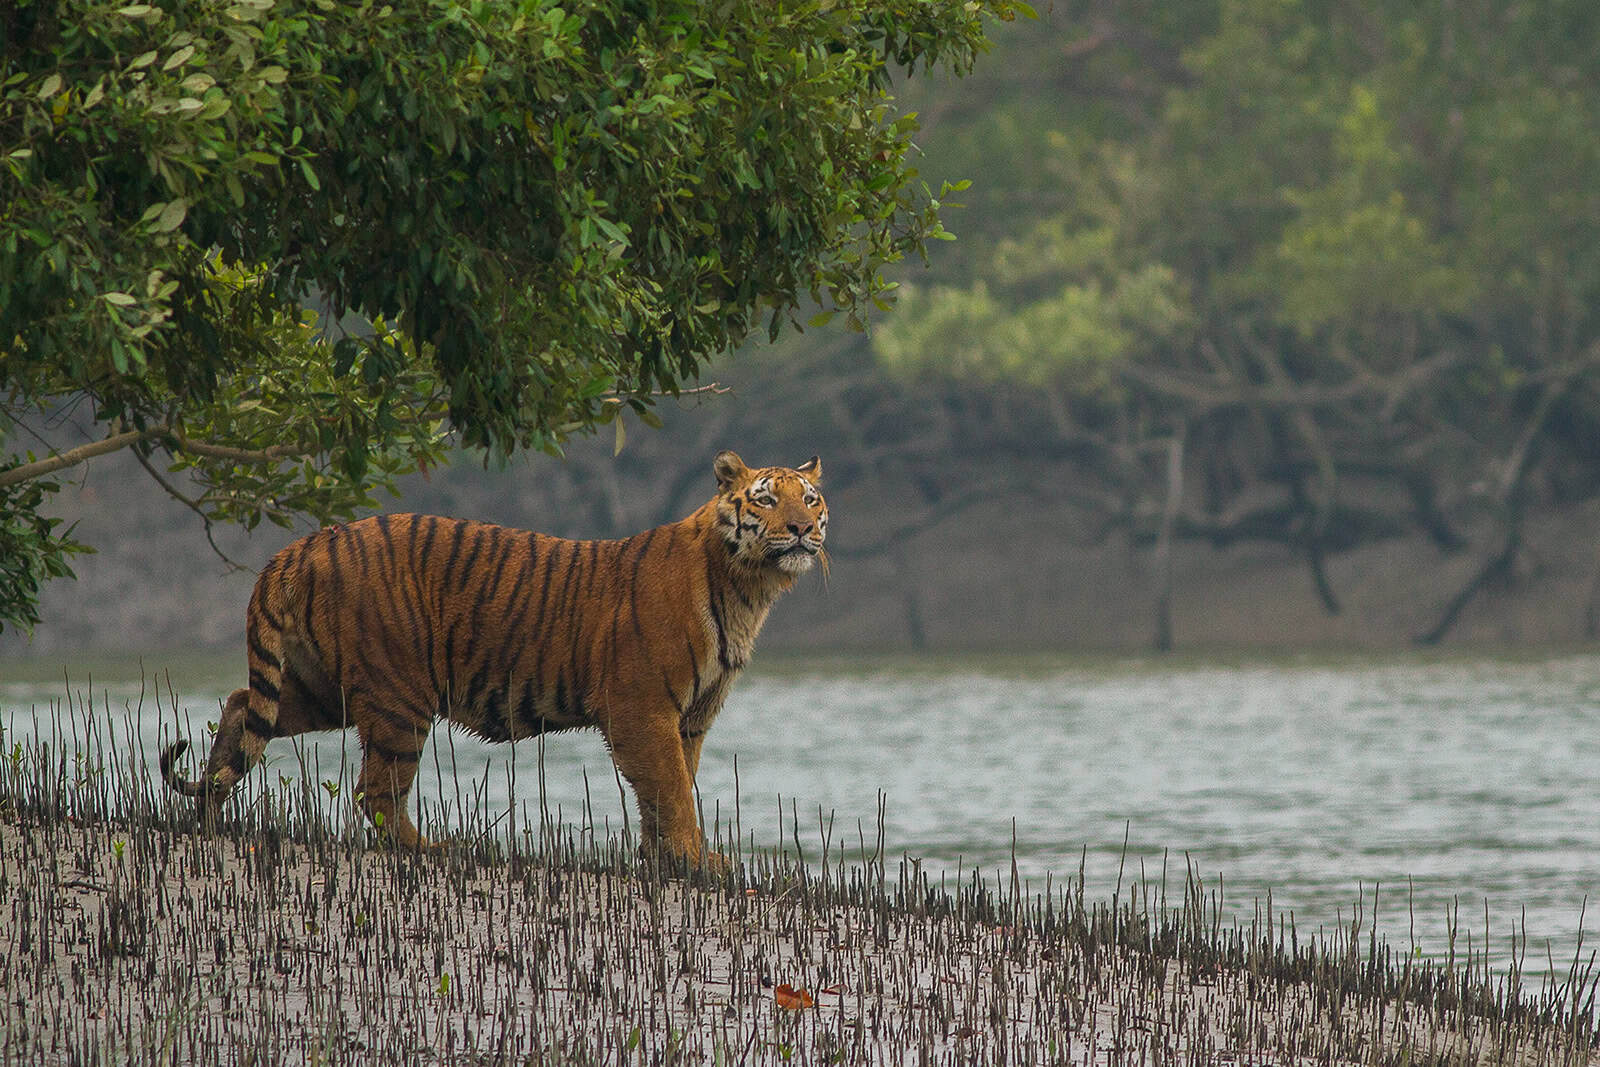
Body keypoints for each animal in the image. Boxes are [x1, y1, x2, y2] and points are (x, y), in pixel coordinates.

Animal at [159, 451, 827, 868]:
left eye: (811, 500)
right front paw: (695, 861)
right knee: (376, 792)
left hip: (325, 687)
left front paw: (665, 858)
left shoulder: (690, 716)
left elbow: (673, 787)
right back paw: (430, 849)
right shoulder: (643, 707)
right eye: (766, 501)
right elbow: (671, 789)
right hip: (399, 695)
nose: (801, 529)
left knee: (242, 705)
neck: (748, 587)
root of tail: (305, 543)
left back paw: (207, 812)